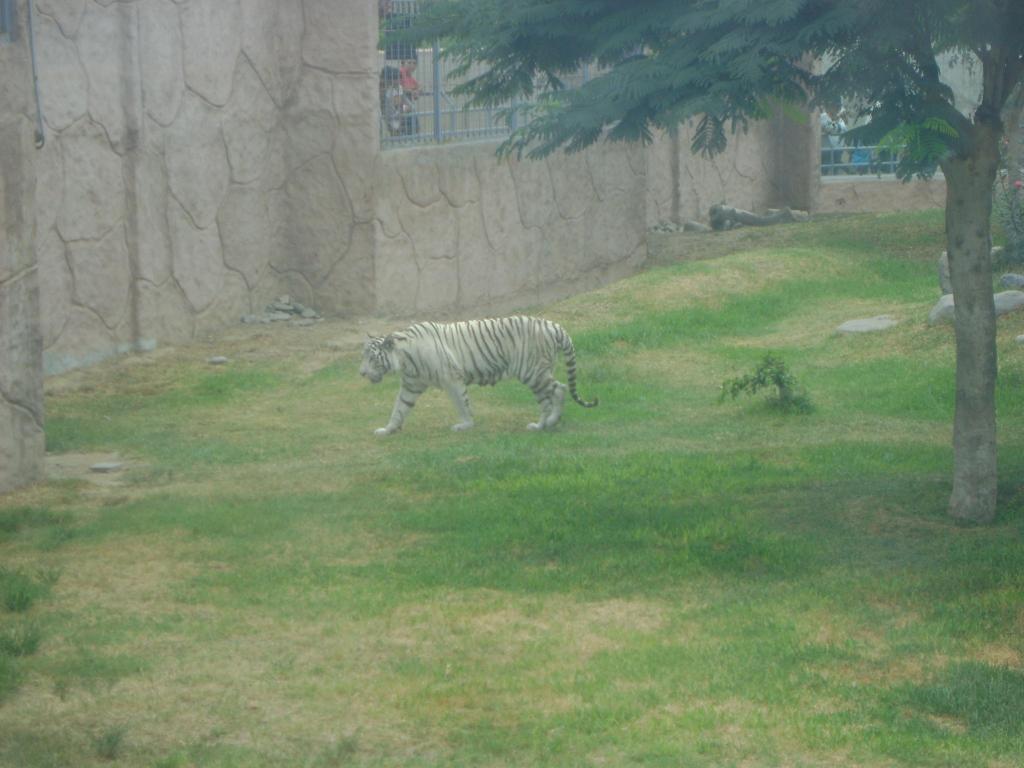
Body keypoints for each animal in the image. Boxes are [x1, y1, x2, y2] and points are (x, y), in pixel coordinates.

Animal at [360, 313, 598, 434]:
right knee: (553, 394)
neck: (405, 359)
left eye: (372, 358)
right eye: (363, 357)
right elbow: (399, 408)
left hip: (533, 372)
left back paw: (545, 424)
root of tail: (553, 325)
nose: (361, 373)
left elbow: (461, 404)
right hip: (538, 372)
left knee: (558, 390)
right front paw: (388, 429)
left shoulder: (452, 379)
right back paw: (546, 423)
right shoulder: (411, 385)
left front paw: (465, 425)